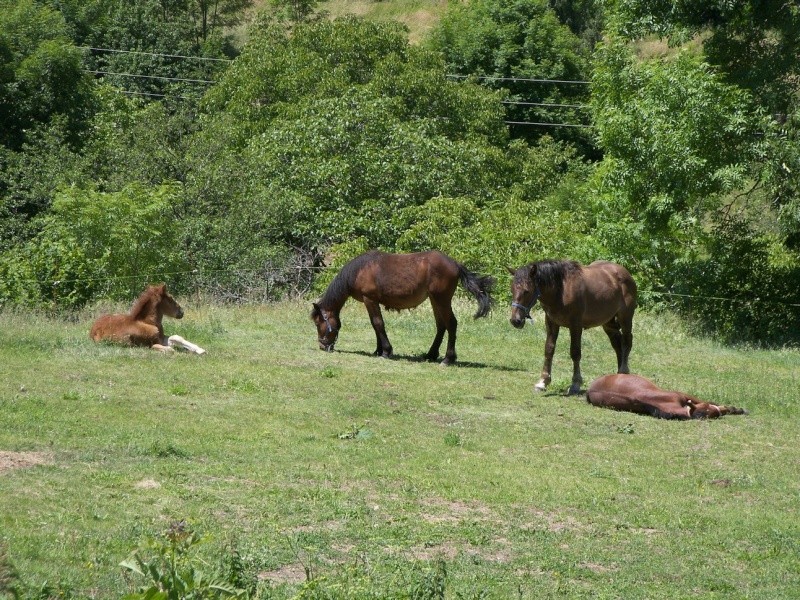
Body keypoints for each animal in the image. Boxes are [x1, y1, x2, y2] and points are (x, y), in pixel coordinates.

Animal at [310, 250, 494, 366]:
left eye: (318, 323)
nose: (322, 346)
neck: (359, 270)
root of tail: (455, 263)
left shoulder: (370, 300)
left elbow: (378, 323)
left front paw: (385, 351)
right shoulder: (372, 302)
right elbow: (376, 325)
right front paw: (378, 350)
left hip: (442, 300)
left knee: (451, 324)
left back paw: (448, 359)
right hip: (435, 301)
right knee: (441, 326)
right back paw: (431, 354)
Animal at [506, 258, 636, 394]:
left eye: (526, 291)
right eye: (512, 289)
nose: (515, 320)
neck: (561, 290)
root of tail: (625, 274)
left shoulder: (575, 325)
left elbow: (575, 353)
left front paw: (575, 383)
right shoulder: (551, 323)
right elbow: (549, 350)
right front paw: (543, 382)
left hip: (625, 318)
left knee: (627, 341)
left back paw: (623, 371)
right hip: (608, 323)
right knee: (617, 345)